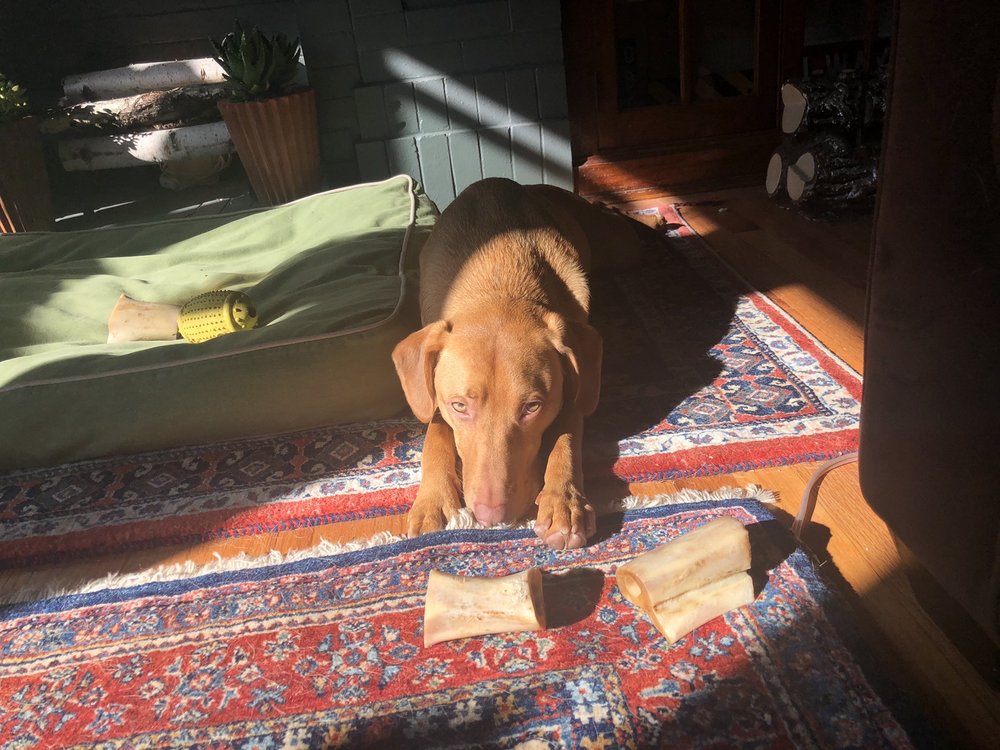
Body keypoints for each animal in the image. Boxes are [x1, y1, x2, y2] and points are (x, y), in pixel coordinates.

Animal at [392, 178, 646, 550]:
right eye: (459, 406)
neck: (499, 279)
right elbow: (434, 435)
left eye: (532, 407)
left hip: (621, 246)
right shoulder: (433, 395)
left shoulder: (572, 386)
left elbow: (566, 437)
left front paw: (563, 502)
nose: (492, 517)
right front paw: (432, 500)